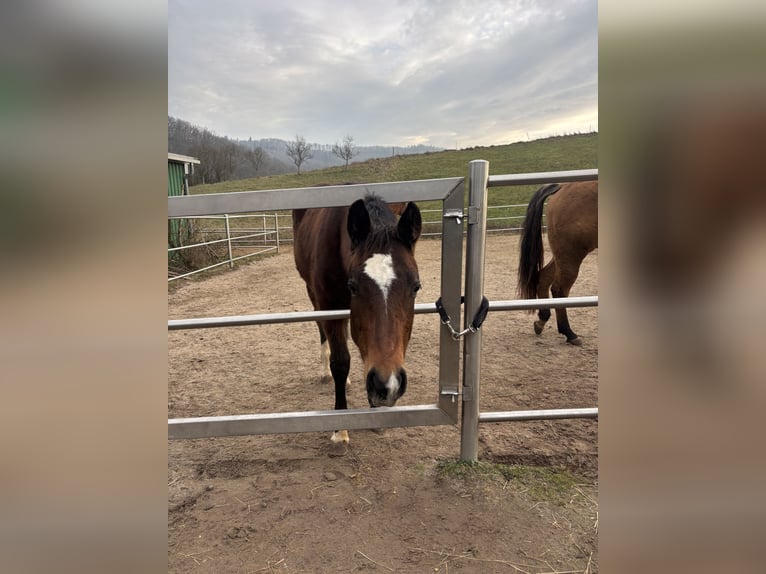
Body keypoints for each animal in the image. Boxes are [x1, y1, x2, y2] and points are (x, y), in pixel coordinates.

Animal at [292, 193, 422, 443]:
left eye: (416, 287)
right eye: (353, 286)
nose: (388, 384)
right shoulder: (329, 306)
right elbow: (341, 362)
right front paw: (340, 429)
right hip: (312, 293)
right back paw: (325, 372)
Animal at [517, 181, 598, 345]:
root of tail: (562, 187)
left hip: (561, 255)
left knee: (543, 278)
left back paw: (542, 319)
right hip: (571, 254)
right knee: (559, 289)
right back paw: (569, 333)